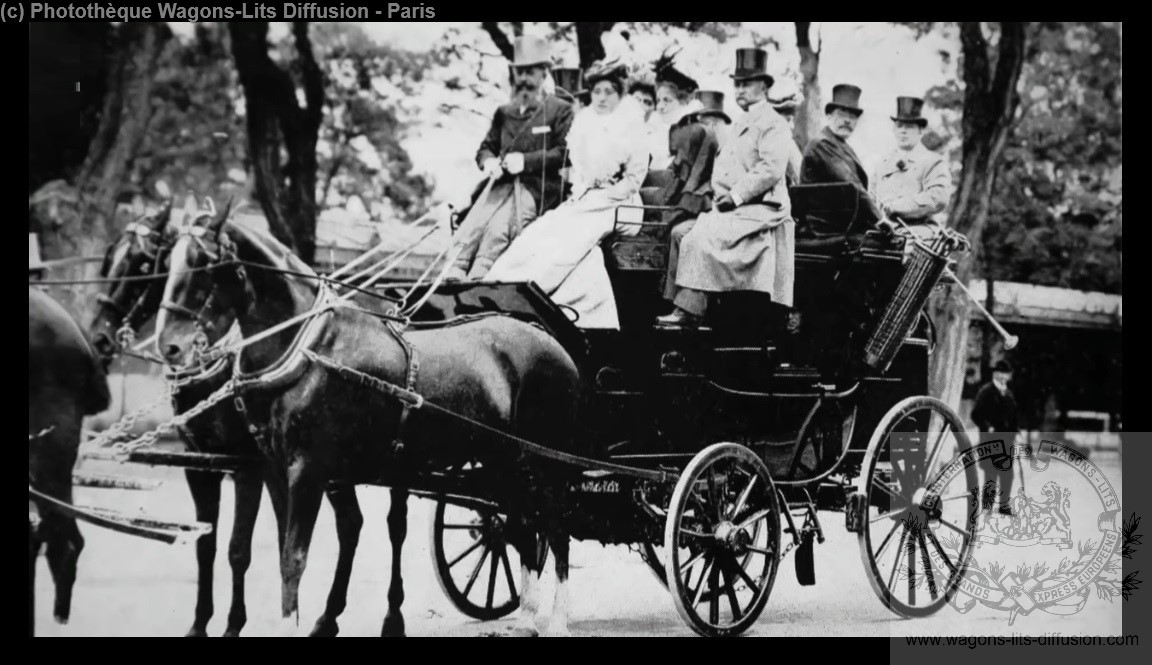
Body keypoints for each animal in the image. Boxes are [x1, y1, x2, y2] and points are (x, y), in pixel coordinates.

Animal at [88, 199, 370, 636]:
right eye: (109, 259)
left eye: (144, 263)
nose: (98, 337)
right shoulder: (201, 465)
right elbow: (207, 543)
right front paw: (200, 621)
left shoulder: (247, 467)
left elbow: (239, 550)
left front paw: (234, 623)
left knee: (359, 524)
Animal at [155, 209, 585, 636]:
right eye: (167, 260)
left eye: (207, 262)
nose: (169, 346)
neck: (311, 348)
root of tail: (552, 342)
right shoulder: (273, 470)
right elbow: (278, 553)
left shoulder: (307, 470)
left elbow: (293, 557)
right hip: (504, 462)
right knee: (523, 527)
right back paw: (527, 615)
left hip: (547, 463)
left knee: (556, 528)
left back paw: (557, 619)